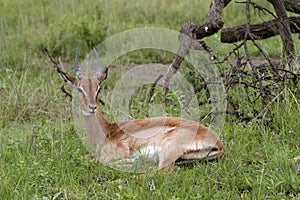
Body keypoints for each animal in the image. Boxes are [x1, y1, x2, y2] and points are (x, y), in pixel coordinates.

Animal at [45, 47, 224, 172]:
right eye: (79, 89)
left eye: (98, 88)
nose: (92, 108)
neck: (107, 131)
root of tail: (218, 143)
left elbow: (100, 160)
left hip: (167, 151)